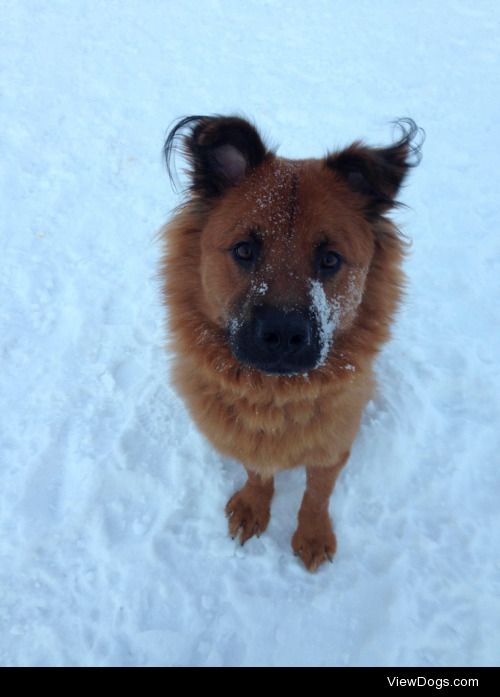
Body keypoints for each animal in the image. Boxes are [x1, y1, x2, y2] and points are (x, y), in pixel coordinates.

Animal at [161, 115, 422, 572]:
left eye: (330, 259)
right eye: (244, 249)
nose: (283, 334)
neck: (275, 397)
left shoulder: (333, 445)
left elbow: (317, 493)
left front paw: (313, 536)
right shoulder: (247, 437)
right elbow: (257, 471)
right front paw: (253, 507)